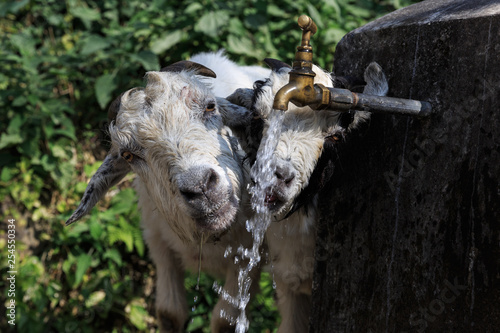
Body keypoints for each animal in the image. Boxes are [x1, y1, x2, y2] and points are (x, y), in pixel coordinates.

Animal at [67, 52, 270, 332]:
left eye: (210, 107)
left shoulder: (250, 256)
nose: (201, 187)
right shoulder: (159, 243)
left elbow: (224, 321)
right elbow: (169, 312)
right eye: (128, 155)